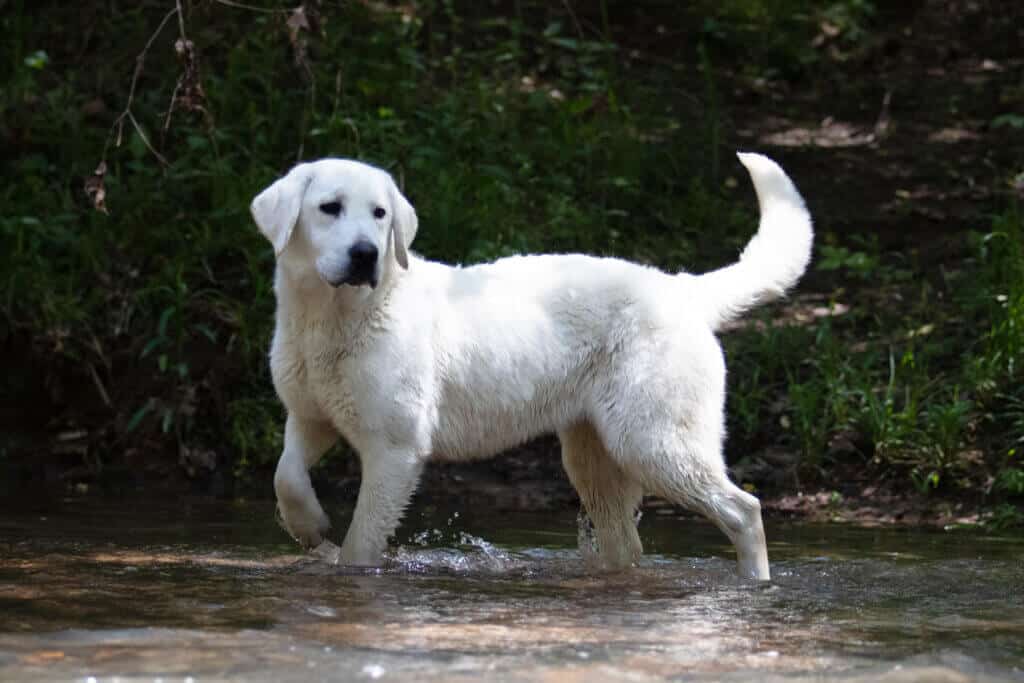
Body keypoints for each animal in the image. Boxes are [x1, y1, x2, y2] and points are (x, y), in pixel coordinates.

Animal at [251, 152, 811, 581]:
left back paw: (755, 584)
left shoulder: (395, 449)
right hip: (595, 456)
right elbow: (286, 477)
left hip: (654, 441)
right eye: (330, 208)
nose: (366, 254)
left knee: (745, 511)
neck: (332, 321)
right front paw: (310, 528)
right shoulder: (310, 416)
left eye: (379, 214)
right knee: (627, 545)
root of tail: (681, 288)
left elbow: (362, 541)